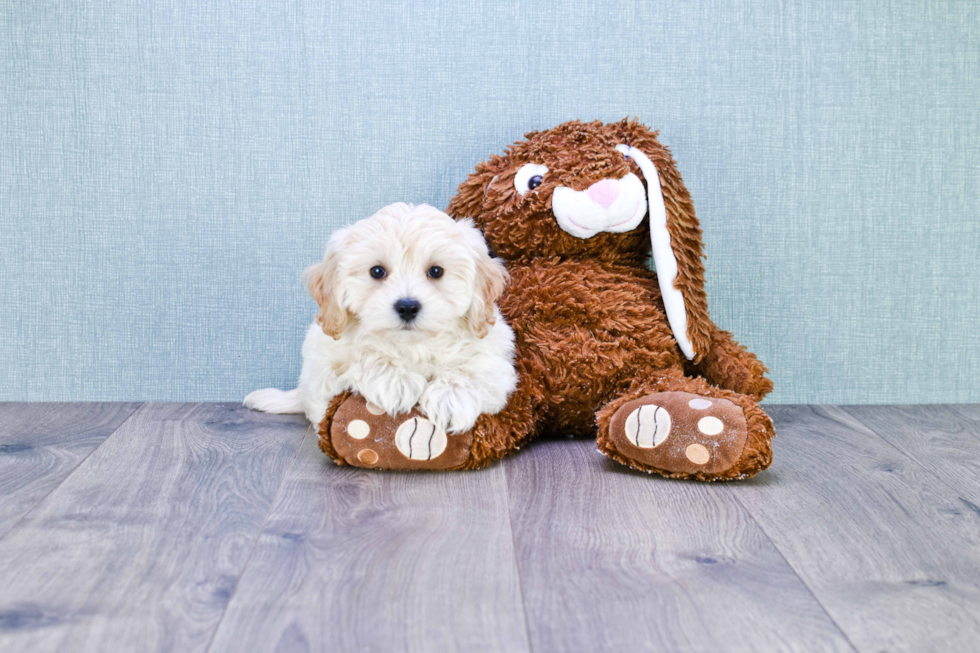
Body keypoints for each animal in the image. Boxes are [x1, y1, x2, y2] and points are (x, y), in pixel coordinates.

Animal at [243, 202, 520, 432]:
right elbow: (364, 354)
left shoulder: (494, 358)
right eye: (377, 271)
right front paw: (396, 380)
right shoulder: (325, 365)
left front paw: (451, 399)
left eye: (436, 271)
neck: (413, 346)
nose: (407, 307)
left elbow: (471, 369)